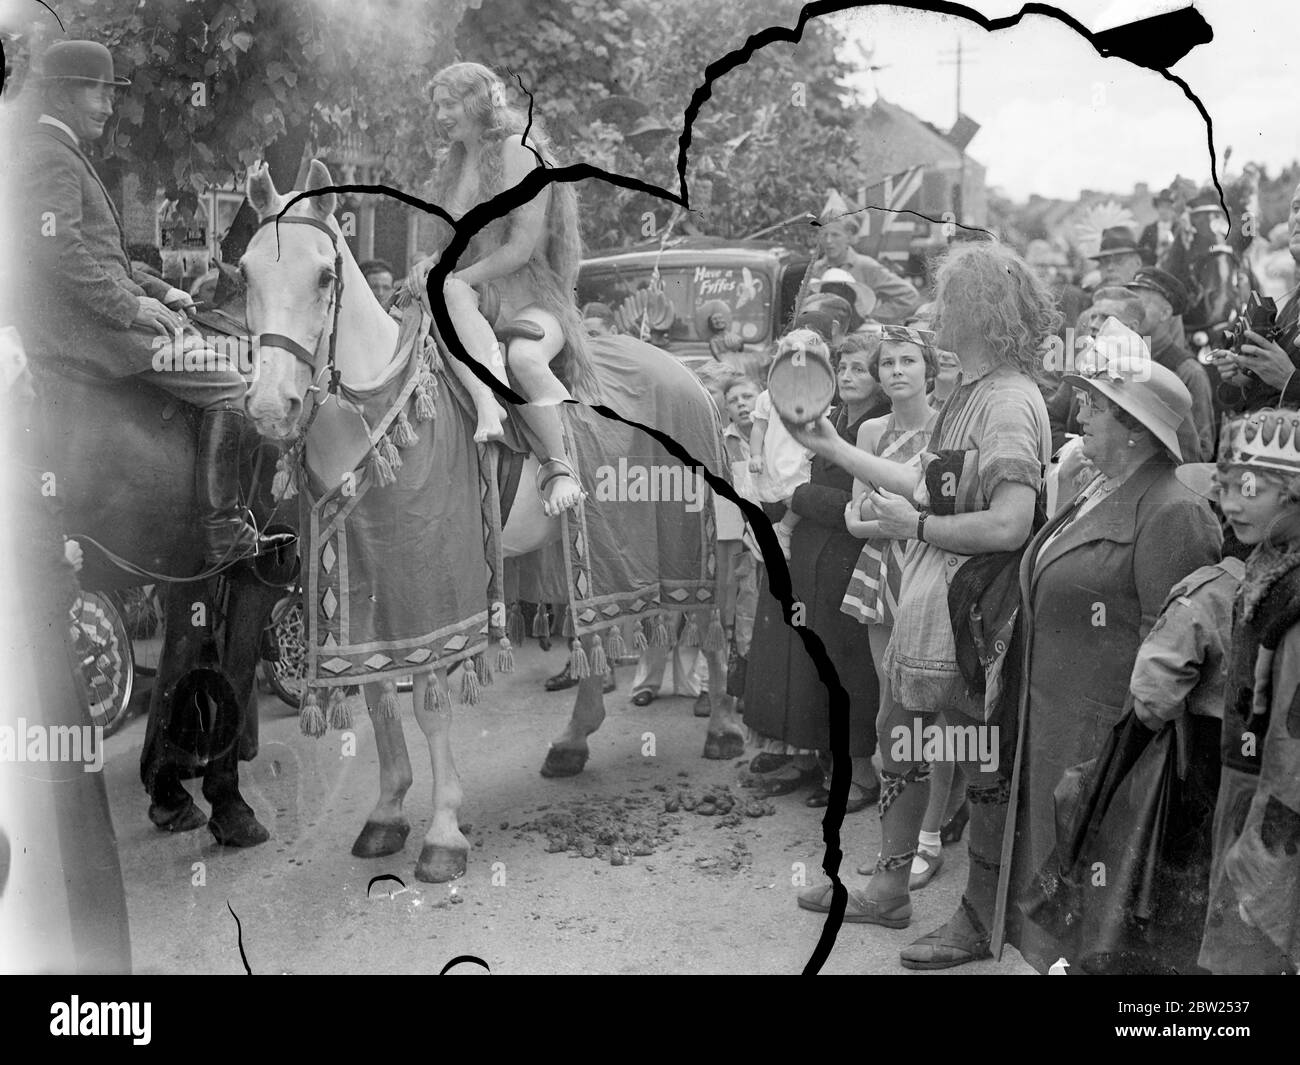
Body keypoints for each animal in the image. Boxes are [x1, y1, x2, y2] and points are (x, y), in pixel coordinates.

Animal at [36, 293, 301, 847]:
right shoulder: (256, 571)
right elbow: (228, 665)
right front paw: (228, 803)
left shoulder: (187, 572)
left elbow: (178, 664)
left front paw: (169, 788)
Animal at [241, 162, 743, 884]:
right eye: (246, 272)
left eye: (324, 277)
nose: (269, 405)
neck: (380, 413)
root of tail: (693, 374)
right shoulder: (367, 597)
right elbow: (379, 698)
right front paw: (387, 812)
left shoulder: (433, 596)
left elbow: (428, 707)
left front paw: (443, 831)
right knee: (590, 630)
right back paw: (573, 739)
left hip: (692, 544)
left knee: (709, 623)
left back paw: (724, 728)